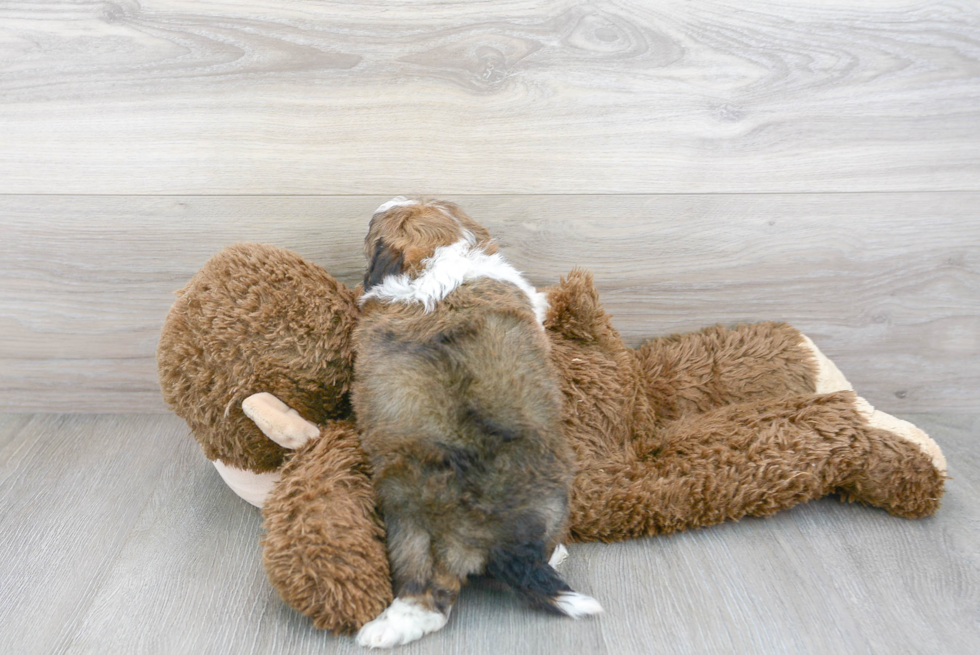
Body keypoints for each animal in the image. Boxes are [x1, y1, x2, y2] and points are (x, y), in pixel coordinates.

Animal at [348, 197, 600, 648]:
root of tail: (491, 536)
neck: (434, 262)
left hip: (416, 531)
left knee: (426, 598)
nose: (379, 203)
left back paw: (385, 629)